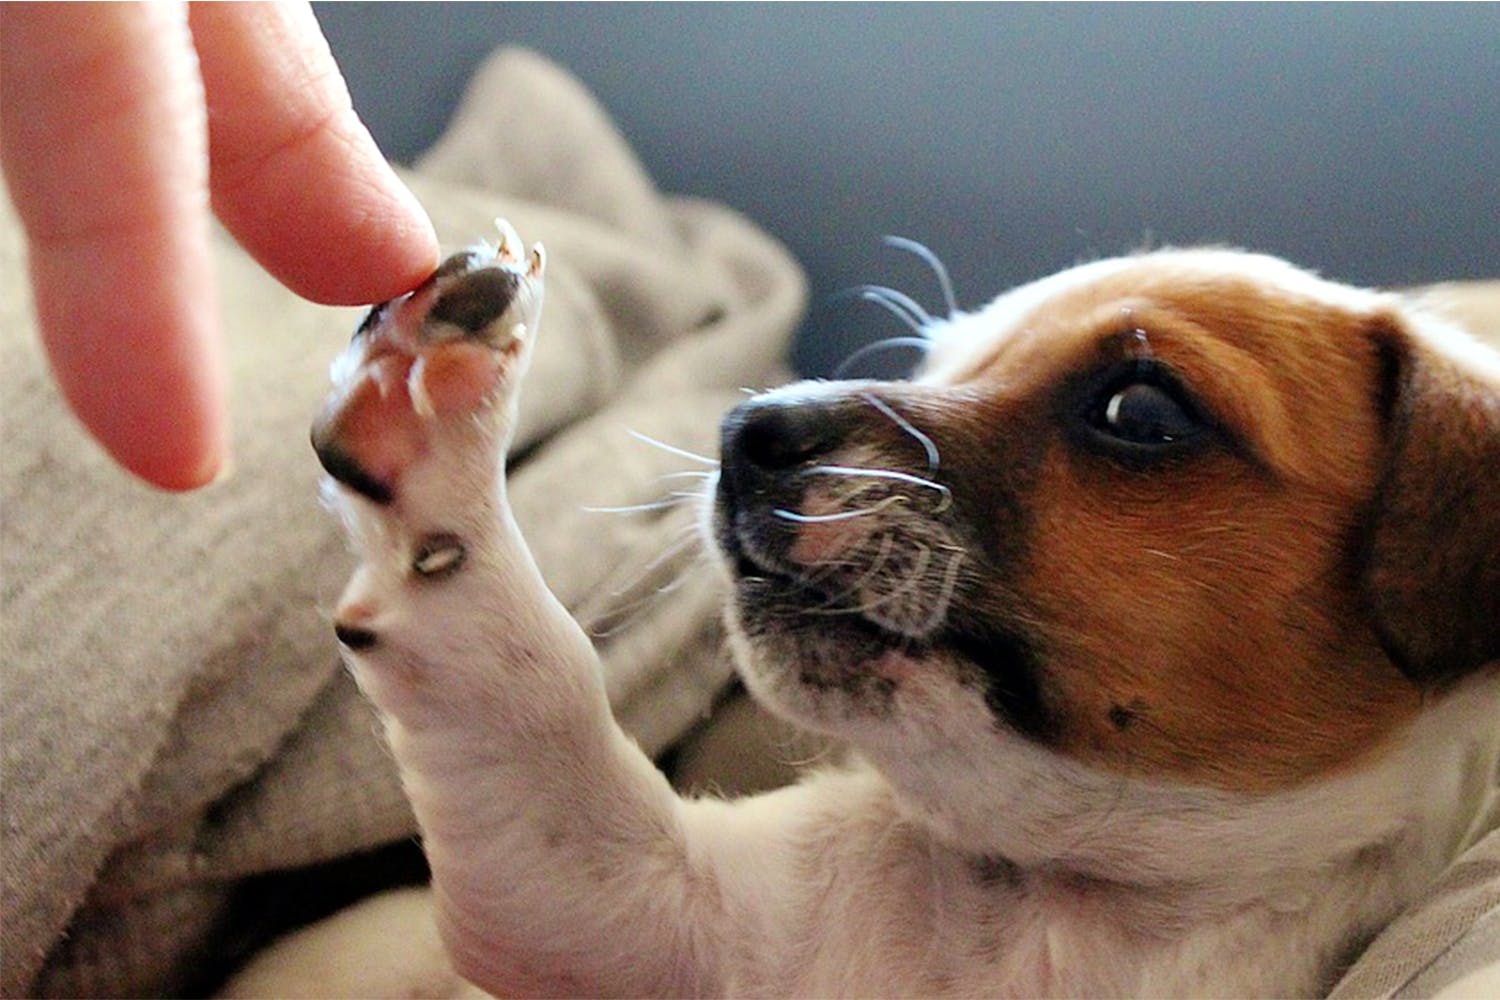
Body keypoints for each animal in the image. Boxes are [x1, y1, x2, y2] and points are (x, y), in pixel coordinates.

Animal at [240, 229, 1494, 1000]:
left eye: (1142, 412)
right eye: (936, 361)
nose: (744, 431)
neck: (1043, 897)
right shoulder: (606, 906)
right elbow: (527, 673)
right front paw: (429, 416)